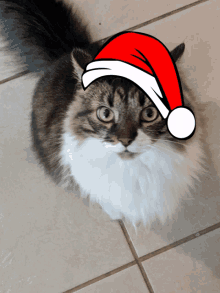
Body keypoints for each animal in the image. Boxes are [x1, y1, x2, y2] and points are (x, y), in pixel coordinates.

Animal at [0, 0, 206, 228]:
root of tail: (67, 51)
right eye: (105, 113)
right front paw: (116, 214)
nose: (125, 140)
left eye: (150, 113)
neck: (131, 170)